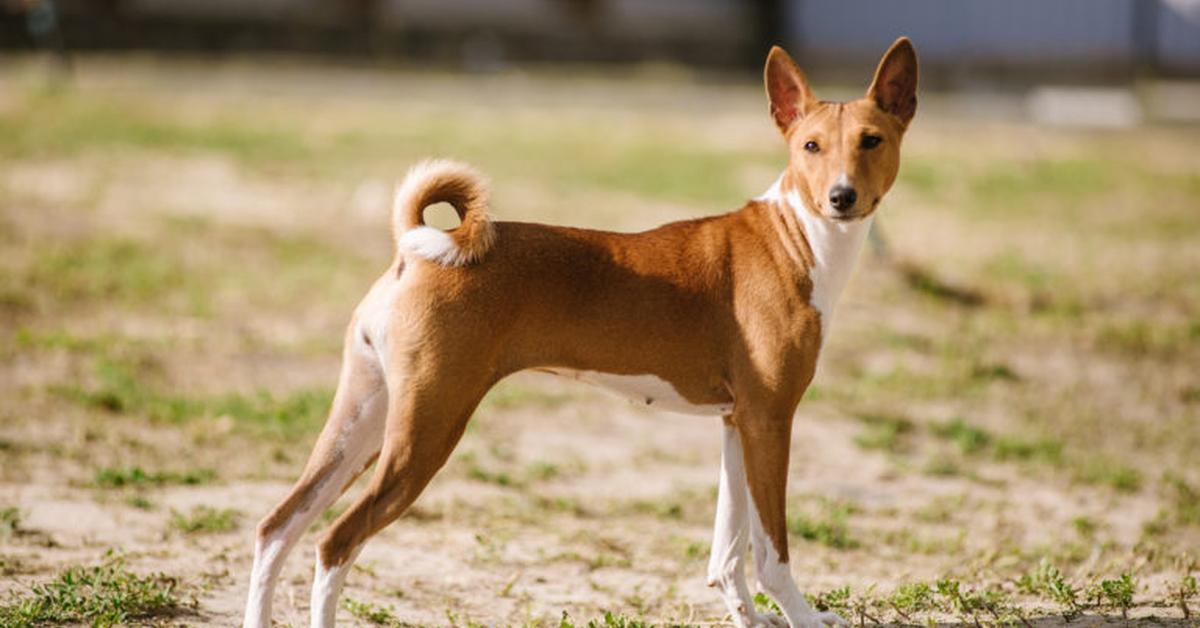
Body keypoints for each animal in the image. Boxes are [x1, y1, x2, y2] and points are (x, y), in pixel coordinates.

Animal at [243, 38, 916, 628]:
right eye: (810, 146)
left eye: (872, 141)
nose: (842, 196)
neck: (795, 238)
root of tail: (419, 250)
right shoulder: (771, 420)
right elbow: (772, 553)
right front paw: (801, 616)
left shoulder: (738, 421)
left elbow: (727, 554)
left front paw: (749, 620)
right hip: (426, 430)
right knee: (334, 541)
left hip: (364, 416)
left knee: (279, 526)